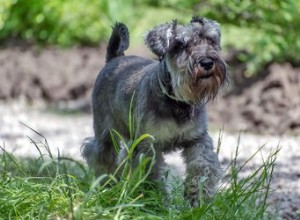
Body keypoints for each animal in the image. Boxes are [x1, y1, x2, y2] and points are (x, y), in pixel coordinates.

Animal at [82, 16, 227, 207]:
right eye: (180, 45)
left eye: (210, 40)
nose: (207, 62)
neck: (177, 101)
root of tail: (114, 59)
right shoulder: (149, 145)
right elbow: (152, 175)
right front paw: (158, 202)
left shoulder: (197, 139)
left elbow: (204, 165)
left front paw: (198, 196)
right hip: (106, 133)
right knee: (99, 154)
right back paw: (108, 184)